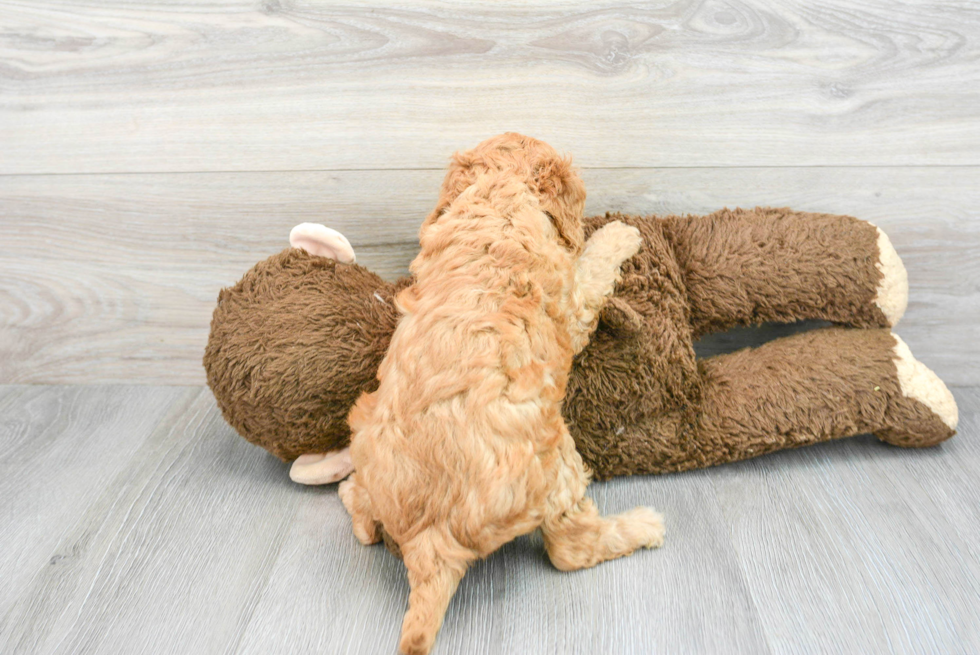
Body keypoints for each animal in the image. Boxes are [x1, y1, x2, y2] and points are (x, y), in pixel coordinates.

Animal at [338, 135, 668, 655]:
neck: (496, 197)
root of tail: (429, 543)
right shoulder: (571, 307)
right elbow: (593, 270)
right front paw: (618, 234)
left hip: (363, 427)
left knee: (367, 528)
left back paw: (351, 495)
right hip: (556, 462)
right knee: (569, 549)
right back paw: (642, 526)